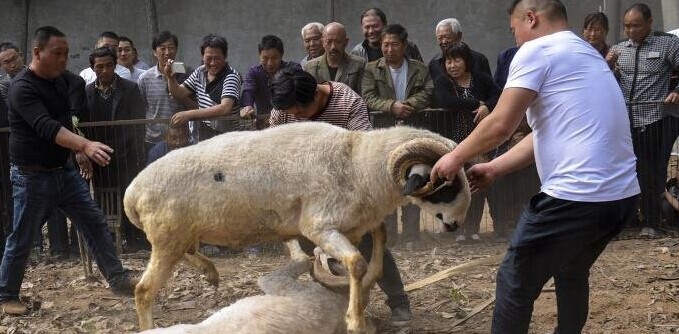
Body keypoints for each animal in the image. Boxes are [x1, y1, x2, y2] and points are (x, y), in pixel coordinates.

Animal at [125, 121, 470, 332]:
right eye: (445, 183)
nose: (456, 224)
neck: (357, 164)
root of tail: (131, 192)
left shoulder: (353, 227)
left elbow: (377, 246)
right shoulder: (319, 226)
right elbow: (356, 263)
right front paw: (355, 319)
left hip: (178, 236)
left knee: (189, 252)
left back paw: (209, 272)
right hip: (166, 238)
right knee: (143, 291)